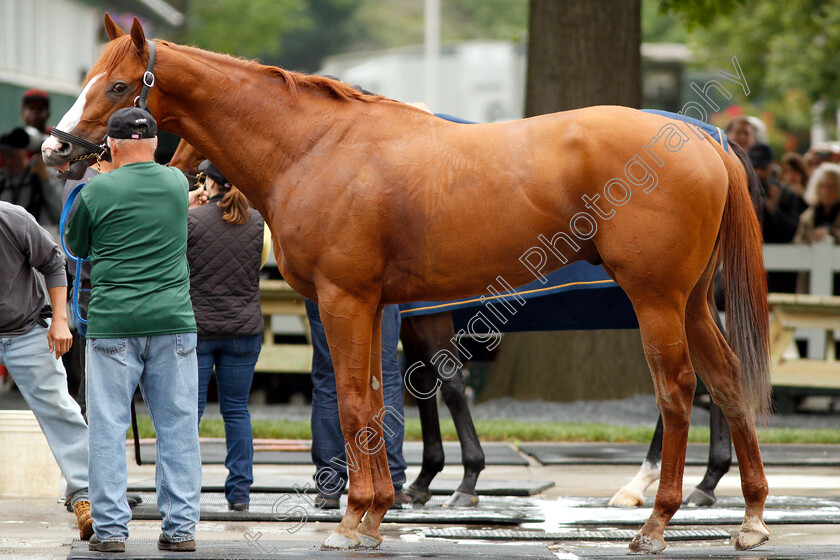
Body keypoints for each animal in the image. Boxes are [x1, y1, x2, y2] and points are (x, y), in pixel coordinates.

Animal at [44, 15, 768, 552]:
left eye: (118, 86)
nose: (56, 150)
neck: (318, 146)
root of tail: (705, 140)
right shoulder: (375, 308)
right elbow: (374, 401)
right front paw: (376, 511)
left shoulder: (344, 301)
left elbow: (353, 404)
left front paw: (353, 520)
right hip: (694, 303)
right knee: (728, 382)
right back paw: (752, 517)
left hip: (656, 301)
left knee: (678, 391)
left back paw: (655, 520)